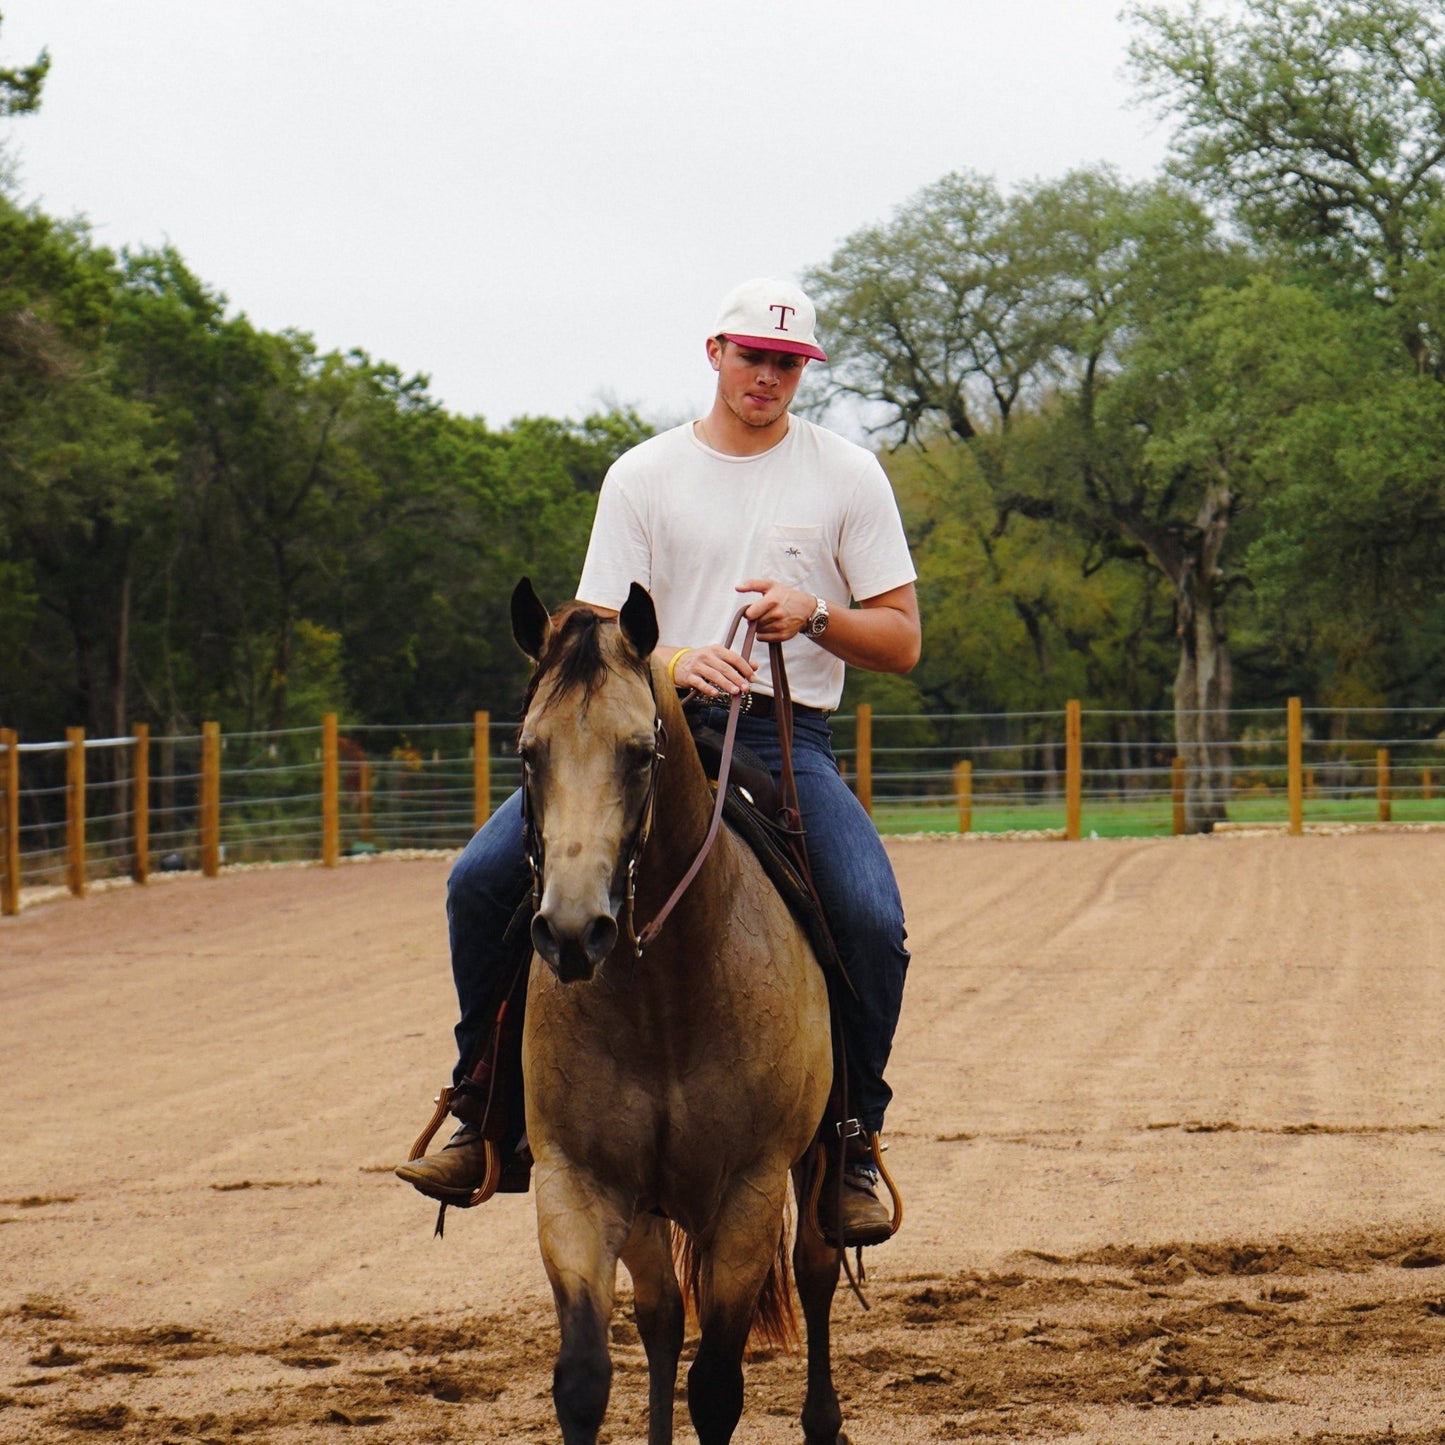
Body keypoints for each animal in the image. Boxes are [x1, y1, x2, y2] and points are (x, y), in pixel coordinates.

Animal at [511, 578, 843, 1445]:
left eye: (638, 752)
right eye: (527, 751)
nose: (572, 931)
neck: (662, 999)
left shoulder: (748, 1194)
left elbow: (717, 1387)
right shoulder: (579, 1184)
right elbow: (585, 1376)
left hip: (817, 1158)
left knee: (818, 1271)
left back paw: (824, 1420)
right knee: (661, 1317)